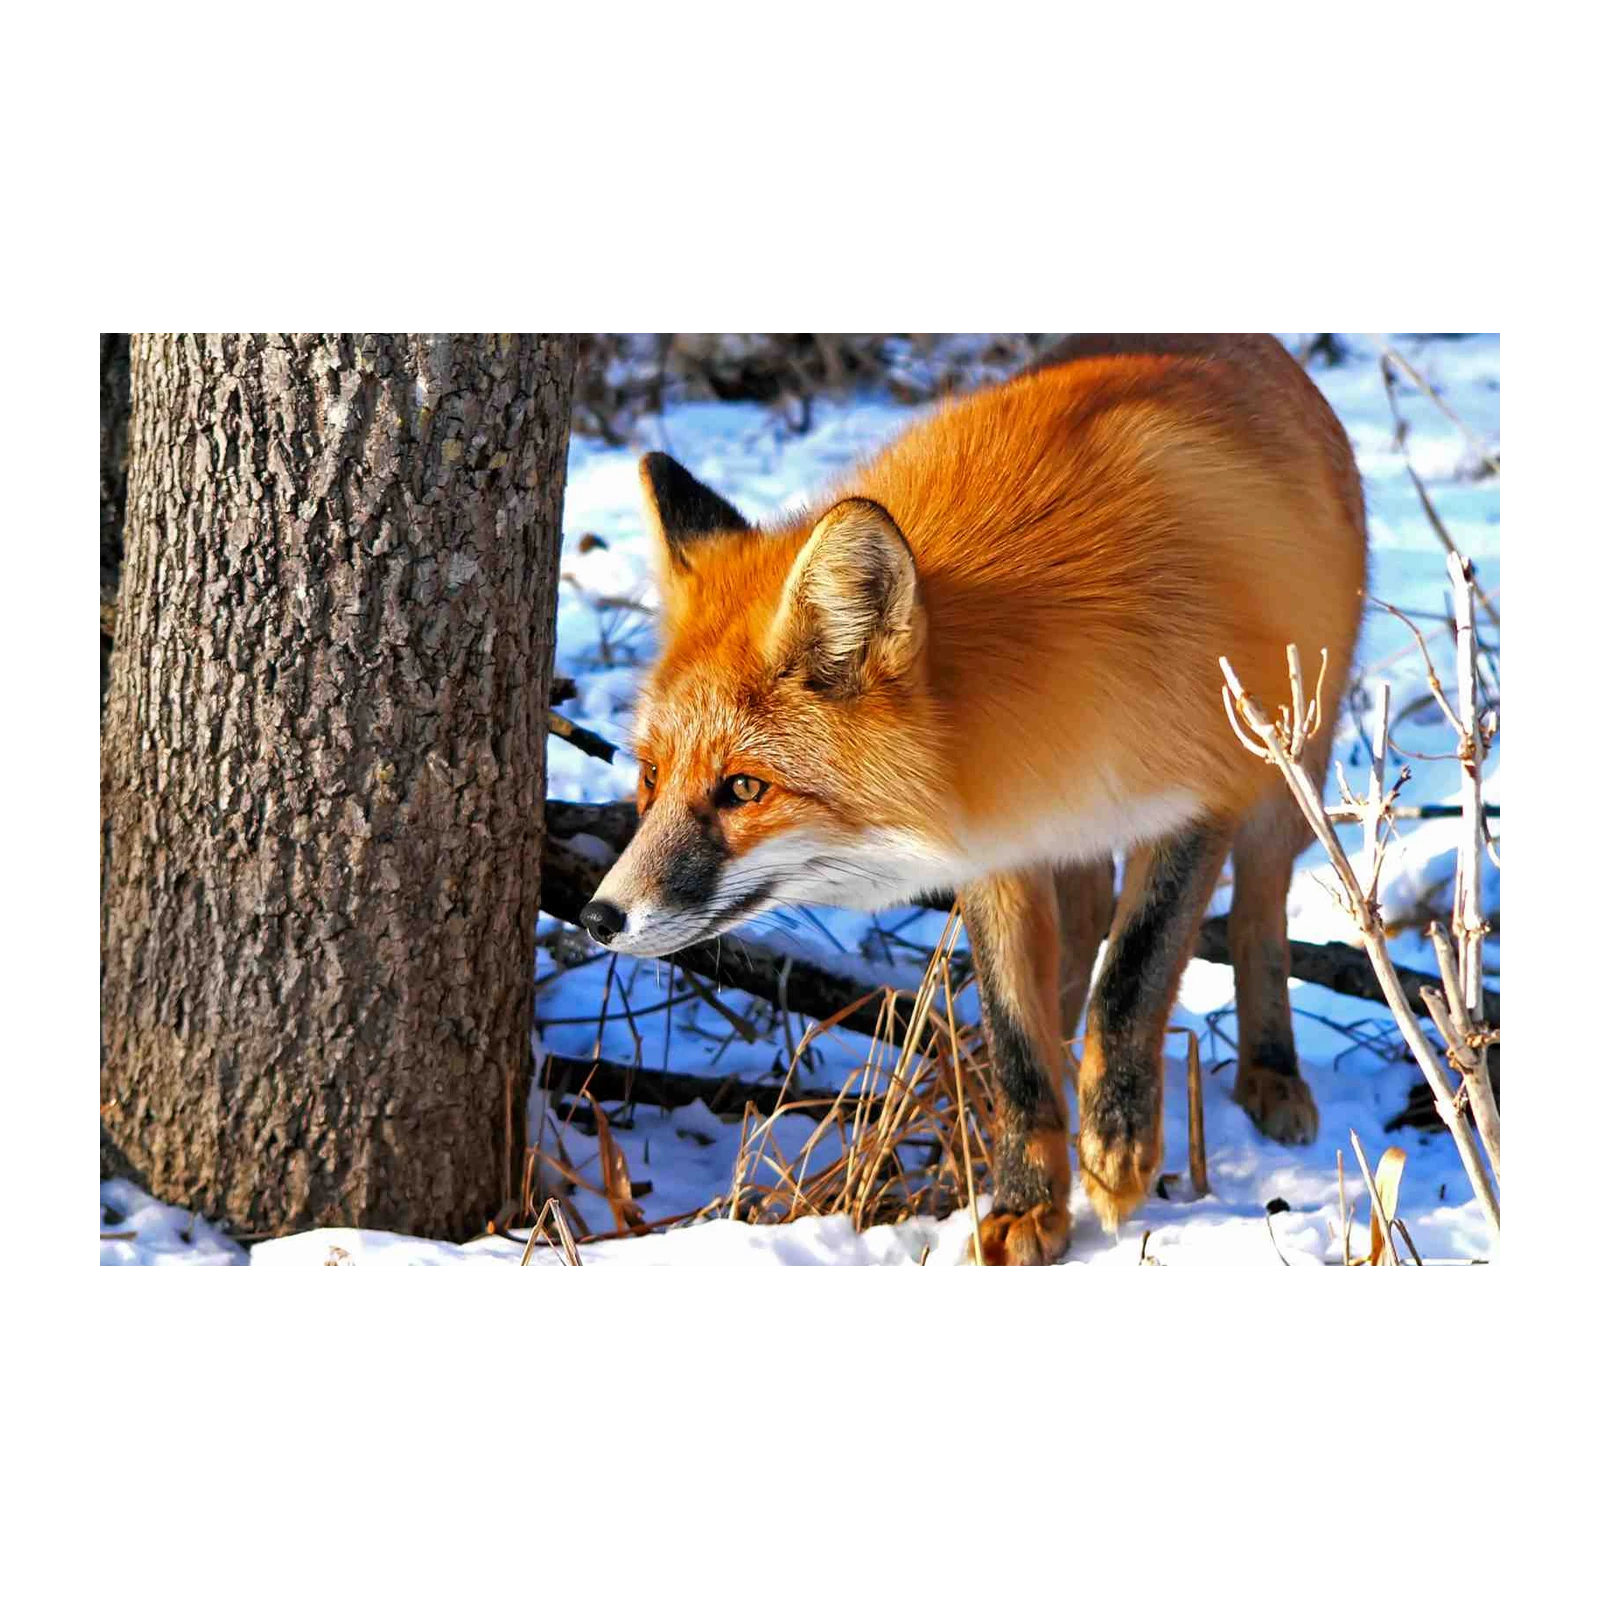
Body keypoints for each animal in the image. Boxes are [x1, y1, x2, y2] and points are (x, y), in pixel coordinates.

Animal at [580, 329, 1368, 1267]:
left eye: (743, 788)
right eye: (650, 777)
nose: (598, 916)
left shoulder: (1199, 798)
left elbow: (1133, 978)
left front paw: (1117, 1149)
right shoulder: (1001, 843)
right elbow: (1016, 1038)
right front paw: (1028, 1200)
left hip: (1287, 772)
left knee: (1258, 911)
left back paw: (1270, 1071)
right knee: (1078, 942)